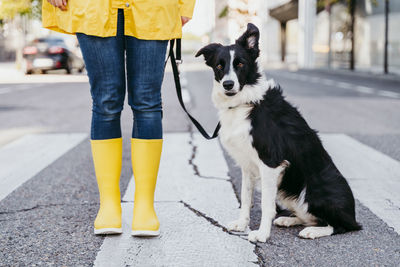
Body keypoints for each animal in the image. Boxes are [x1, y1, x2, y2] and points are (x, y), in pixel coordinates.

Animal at [195, 24, 360, 244]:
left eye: (240, 64)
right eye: (219, 66)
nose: (228, 85)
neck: (245, 102)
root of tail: (353, 214)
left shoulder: (270, 163)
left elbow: (266, 204)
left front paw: (261, 234)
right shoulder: (247, 166)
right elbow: (245, 198)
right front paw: (242, 224)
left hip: (313, 191)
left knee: (341, 226)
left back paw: (313, 231)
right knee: (309, 217)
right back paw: (289, 220)